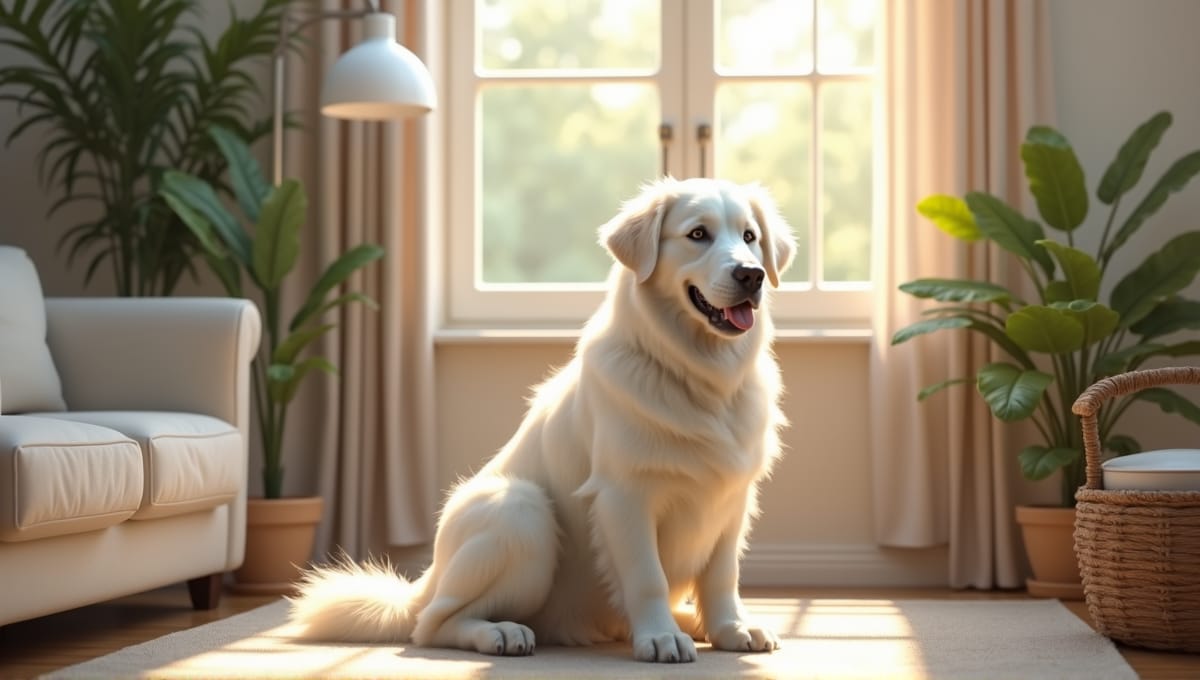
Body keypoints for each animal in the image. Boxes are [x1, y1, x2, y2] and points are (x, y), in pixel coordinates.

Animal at [288, 177, 796, 666]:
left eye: (749, 237)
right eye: (697, 234)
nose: (751, 275)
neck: (699, 380)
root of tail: (426, 580)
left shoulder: (732, 498)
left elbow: (722, 575)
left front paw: (729, 628)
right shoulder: (624, 496)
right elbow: (646, 576)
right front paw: (660, 637)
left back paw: (690, 621)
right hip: (521, 510)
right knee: (431, 625)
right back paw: (502, 633)